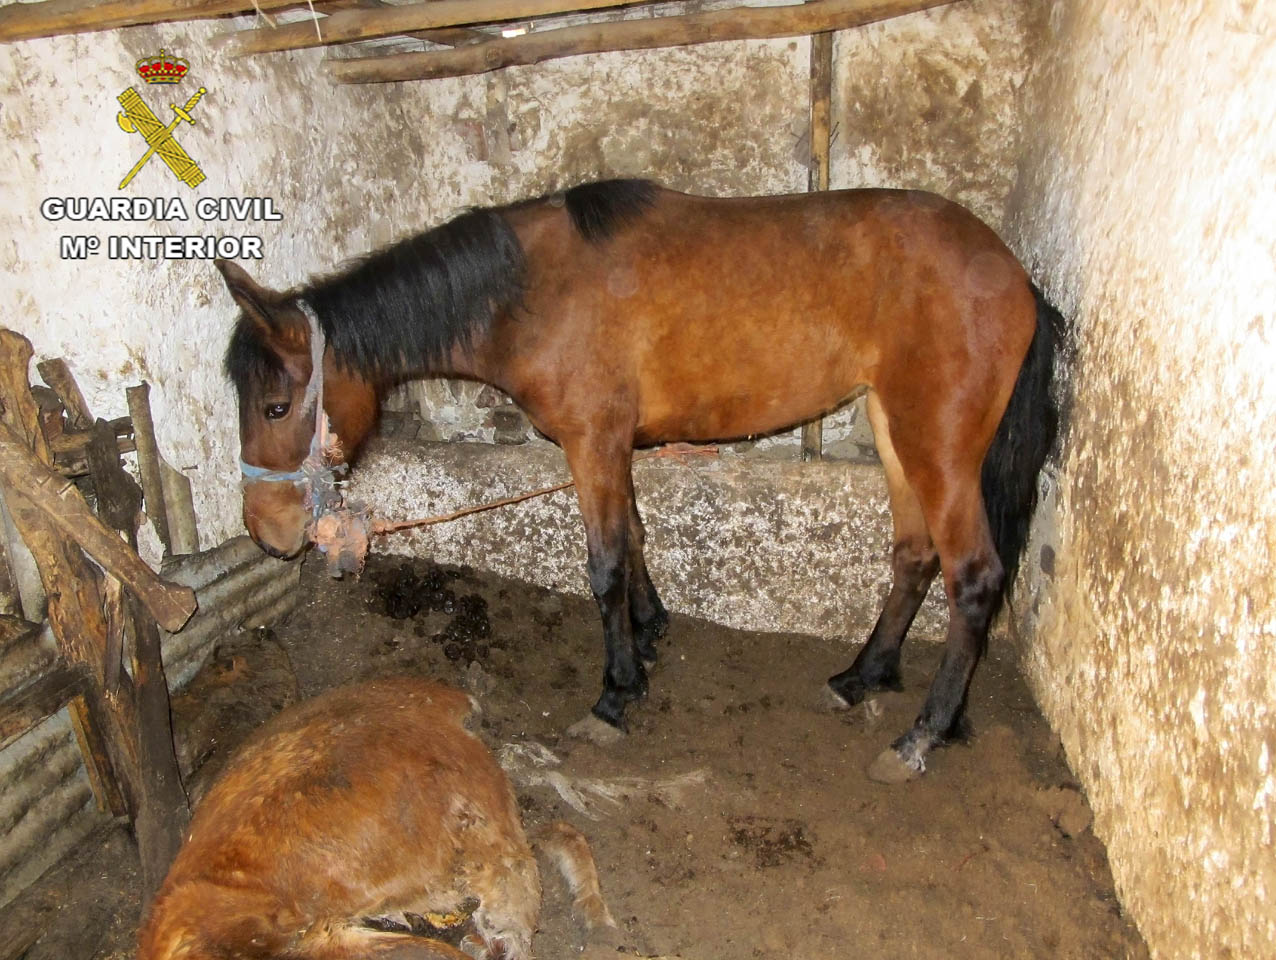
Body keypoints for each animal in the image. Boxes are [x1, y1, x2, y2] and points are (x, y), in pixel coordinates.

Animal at [222, 178, 1066, 781]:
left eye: (275, 404)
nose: (267, 531)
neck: (532, 292)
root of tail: (1016, 277)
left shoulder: (591, 442)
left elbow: (602, 566)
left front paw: (615, 692)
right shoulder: (615, 444)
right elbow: (632, 539)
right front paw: (650, 634)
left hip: (939, 450)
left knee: (973, 578)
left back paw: (922, 734)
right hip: (896, 435)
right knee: (913, 558)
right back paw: (864, 675)